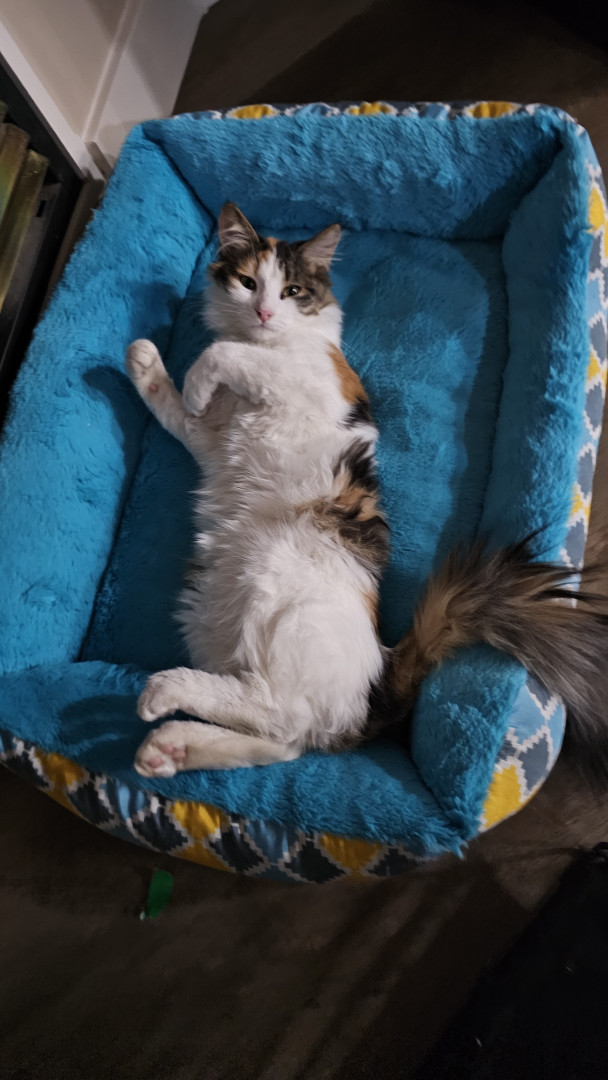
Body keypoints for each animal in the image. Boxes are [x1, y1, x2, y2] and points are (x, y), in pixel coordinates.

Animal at [126, 202, 608, 780]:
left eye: (291, 291)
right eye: (248, 283)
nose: (264, 312)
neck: (268, 341)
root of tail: (380, 681)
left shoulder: (305, 386)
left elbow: (225, 355)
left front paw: (198, 376)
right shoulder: (209, 440)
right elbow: (177, 409)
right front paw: (146, 364)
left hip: (276, 587)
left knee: (279, 714)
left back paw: (165, 693)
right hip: (208, 613)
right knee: (283, 741)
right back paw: (169, 746)